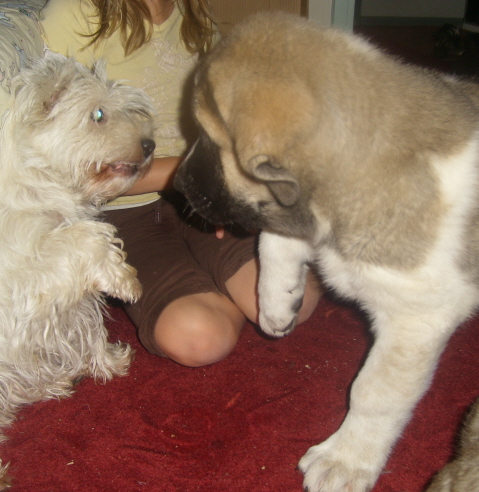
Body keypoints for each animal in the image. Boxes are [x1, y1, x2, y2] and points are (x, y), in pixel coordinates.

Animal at [0, 52, 156, 484]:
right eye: (97, 115)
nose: (150, 145)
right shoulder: (30, 273)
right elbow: (90, 238)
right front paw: (127, 282)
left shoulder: (64, 298)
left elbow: (88, 325)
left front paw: (110, 362)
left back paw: (54, 382)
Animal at [174, 10, 479, 492]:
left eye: (204, 135)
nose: (177, 185)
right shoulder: (293, 214)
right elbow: (273, 243)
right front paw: (276, 305)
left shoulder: (417, 319)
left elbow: (373, 392)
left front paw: (347, 460)